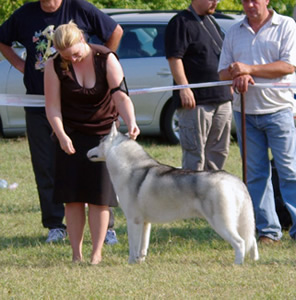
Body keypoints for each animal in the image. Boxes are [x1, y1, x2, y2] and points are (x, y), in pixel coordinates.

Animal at [86, 123, 258, 264]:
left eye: (100, 142)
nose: (87, 151)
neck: (130, 168)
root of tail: (233, 179)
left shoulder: (133, 220)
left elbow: (133, 247)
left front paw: (130, 263)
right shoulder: (145, 222)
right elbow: (143, 247)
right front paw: (139, 262)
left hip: (221, 222)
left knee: (240, 242)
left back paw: (238, 263)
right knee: (252, 240)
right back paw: (254, 260)